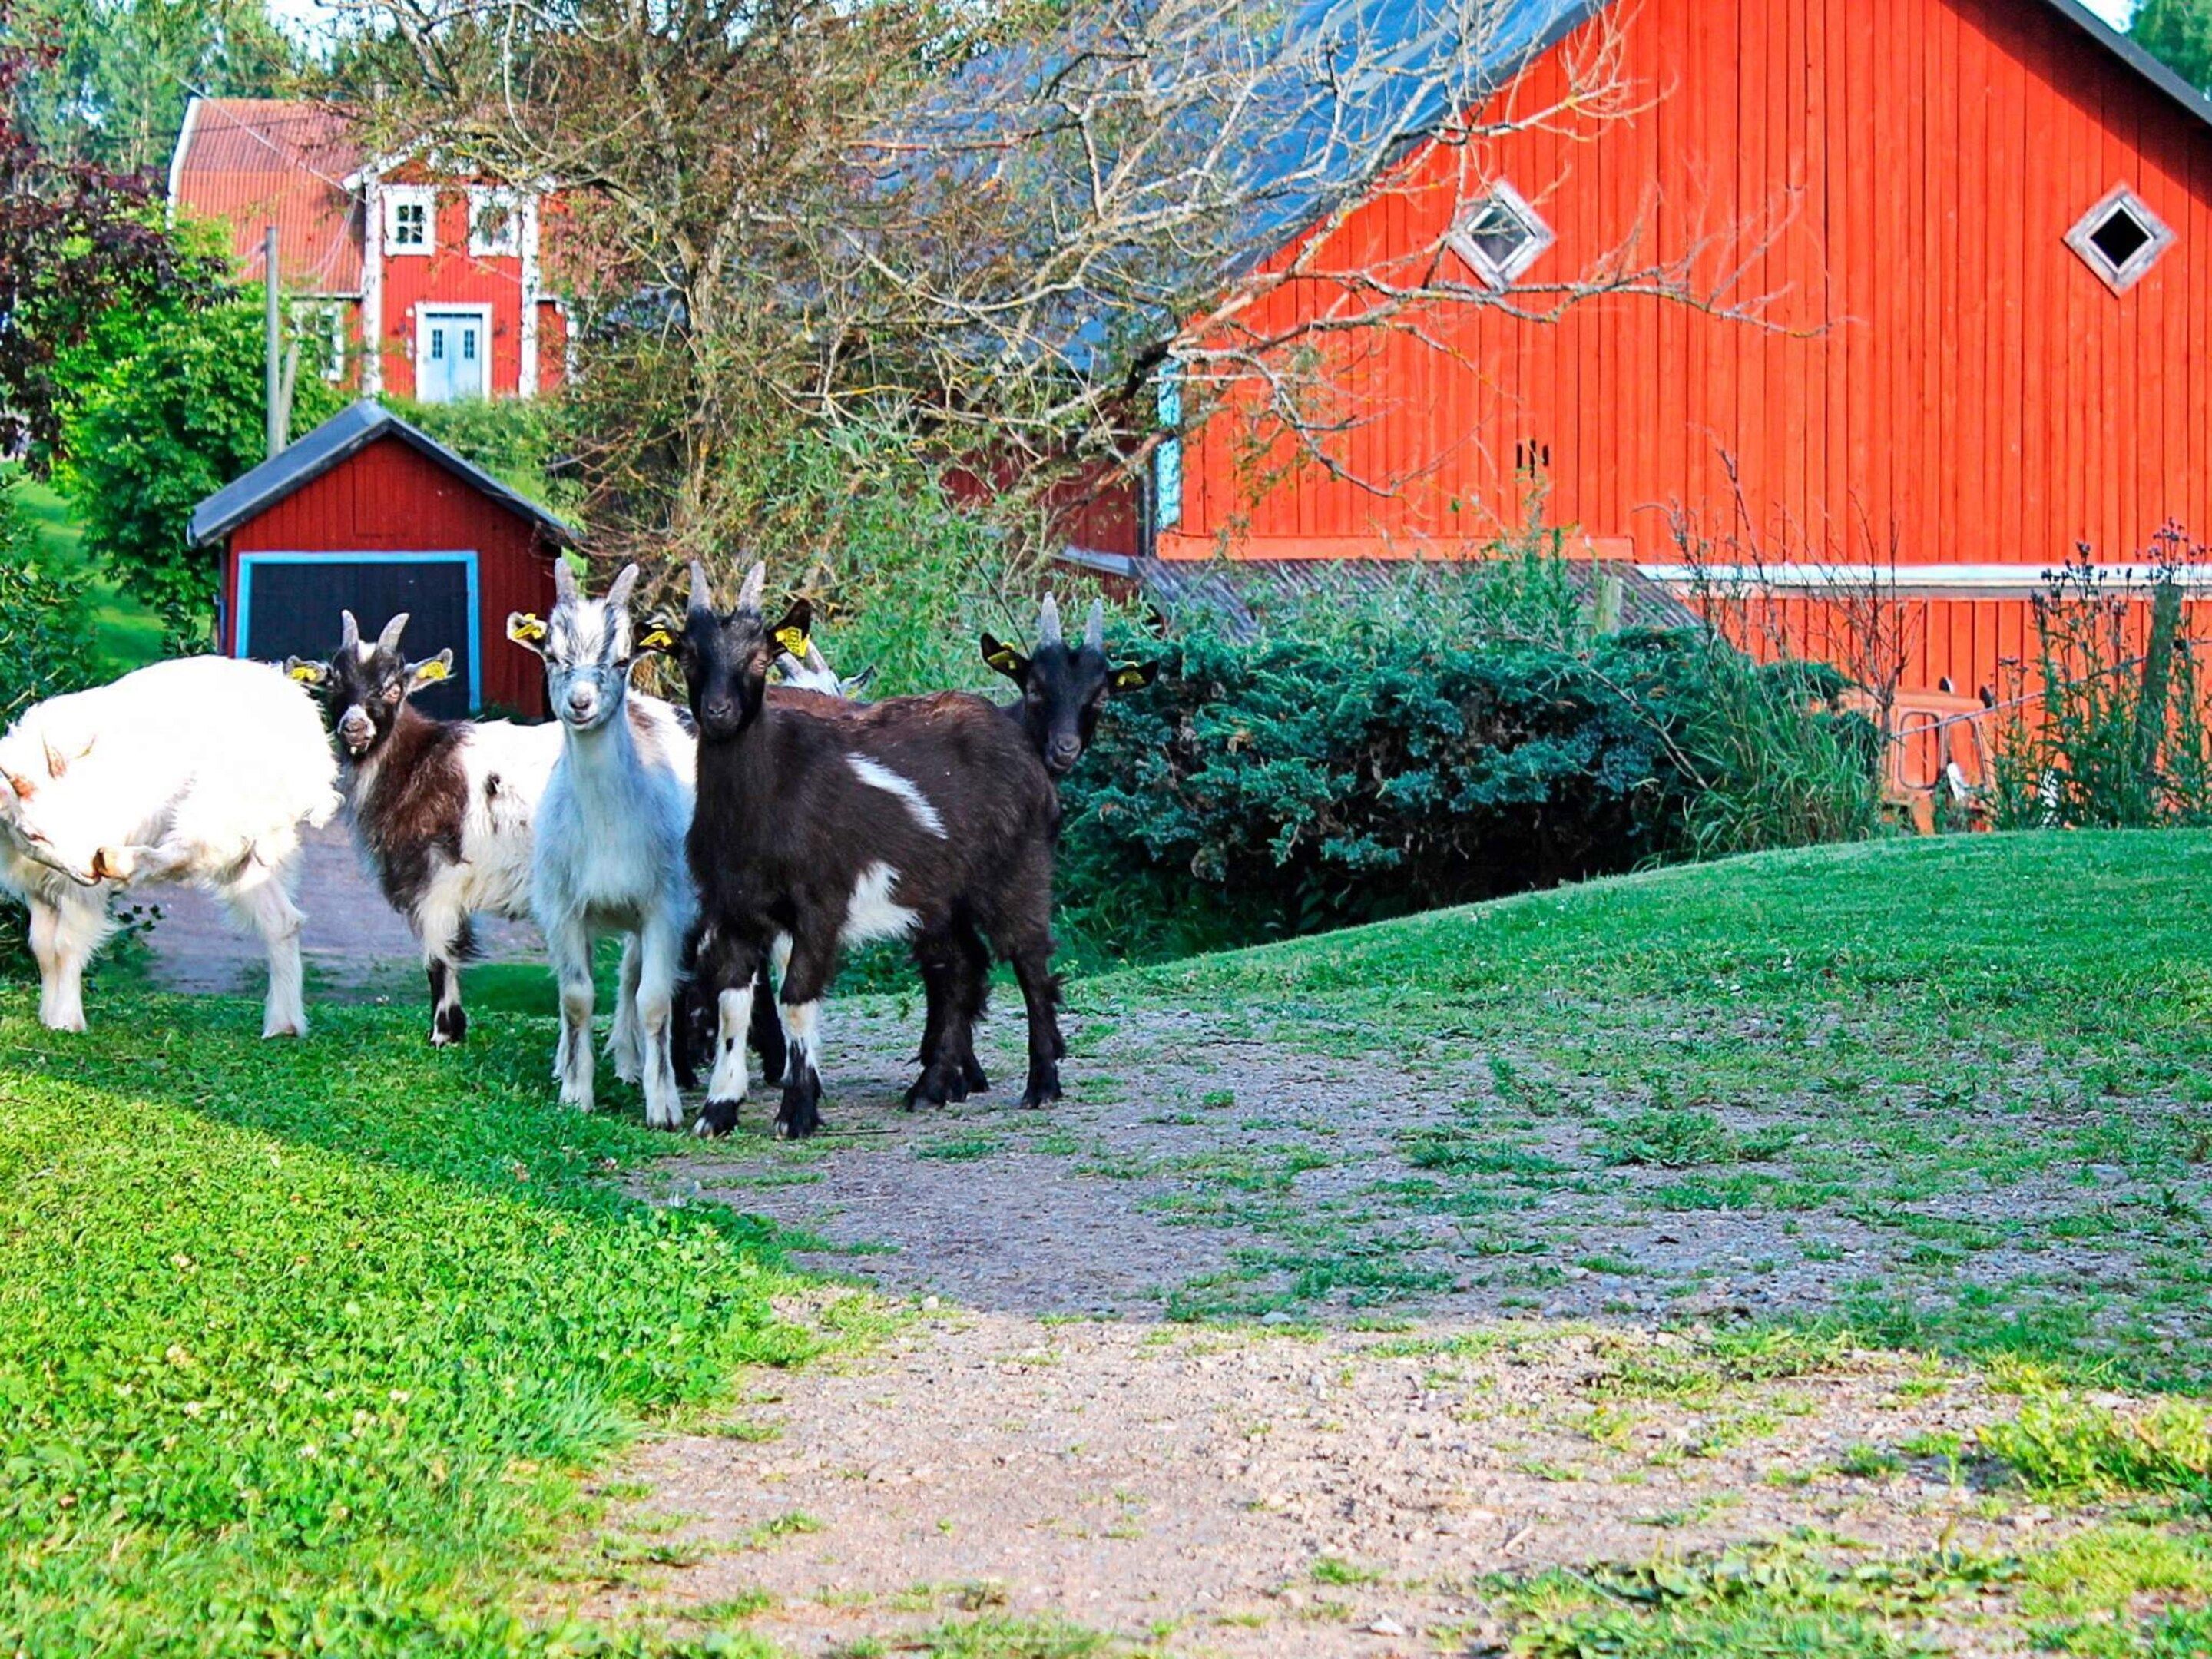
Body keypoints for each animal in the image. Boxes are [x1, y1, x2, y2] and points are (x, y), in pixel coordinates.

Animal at [0, 655, 339, 1035]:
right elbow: (43, 947)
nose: (90, 868)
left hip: (223, 802)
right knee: (282, 921)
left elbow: (66, 945)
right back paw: (284, 1025)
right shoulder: (38, 885)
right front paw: (48, 1016)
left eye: (80, 807)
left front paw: (66, 1020)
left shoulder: (80, 889)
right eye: (34, 834)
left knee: (191, 848)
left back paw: (120, 860)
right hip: (251, 847)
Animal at [285, 610, 562, 1047]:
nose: (354, 728)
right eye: (335, 684)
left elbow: (438, 955)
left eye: (394, 688)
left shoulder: (437, 878)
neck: (417, 763)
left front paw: (443, 1032)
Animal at [508, 561, 696, 1129]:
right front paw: (575, 1092)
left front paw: (663, 1104)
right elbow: (575, 997)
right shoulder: (563, 906)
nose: (580, 703)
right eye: (551, 655)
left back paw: (632, 1062)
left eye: (619, 659)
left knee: (633, 974)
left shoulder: (665, 906)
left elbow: (653, 998)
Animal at [669, 561, 1065, 1139]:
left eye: (759, 657)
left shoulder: (819, 905)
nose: (719, 713)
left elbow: (796, 999)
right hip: (940, 895)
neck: (769, 795)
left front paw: (797, 1111)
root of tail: (1021, 745)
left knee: (1030, 962)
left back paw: (1042, 1085)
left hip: (1016, 870)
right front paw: (718, 1111)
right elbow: (733, 1003)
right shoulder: (733, 909)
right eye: (689, 655)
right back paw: (931, 1088)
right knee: (960, 968)